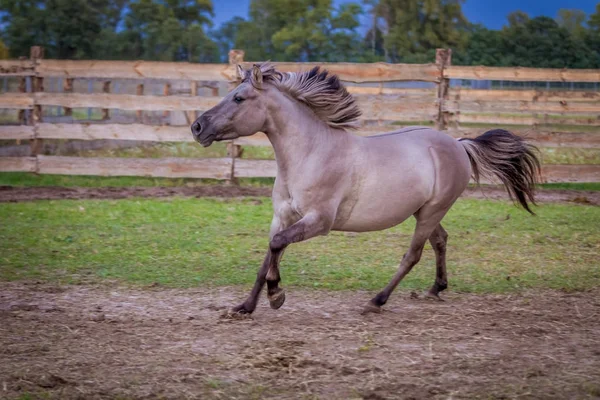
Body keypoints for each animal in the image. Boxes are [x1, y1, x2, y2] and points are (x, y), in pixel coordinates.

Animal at [191, 62, 540, 314]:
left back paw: (376, 301)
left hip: (432, 211)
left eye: (239, 98)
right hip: (425, 211)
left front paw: (276, 295)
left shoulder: (319, 221)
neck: (310, 153)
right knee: (440, 240)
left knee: (413, 254)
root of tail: (458, 143)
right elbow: (268, 255)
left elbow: (276, 246)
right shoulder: (283, 217)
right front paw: (245, 307)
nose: (197, 127)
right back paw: (435, 289)